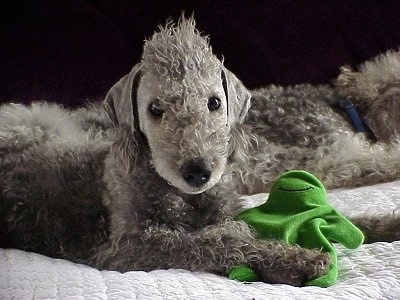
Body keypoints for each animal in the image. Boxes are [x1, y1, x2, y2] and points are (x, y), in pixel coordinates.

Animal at [2, 18, 400, 286]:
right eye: (156, 109)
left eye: (214, 102)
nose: (198, 171)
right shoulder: (125, 248)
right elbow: (213, 243)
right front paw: (296, 259)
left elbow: (353, 220)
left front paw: (388, 224)